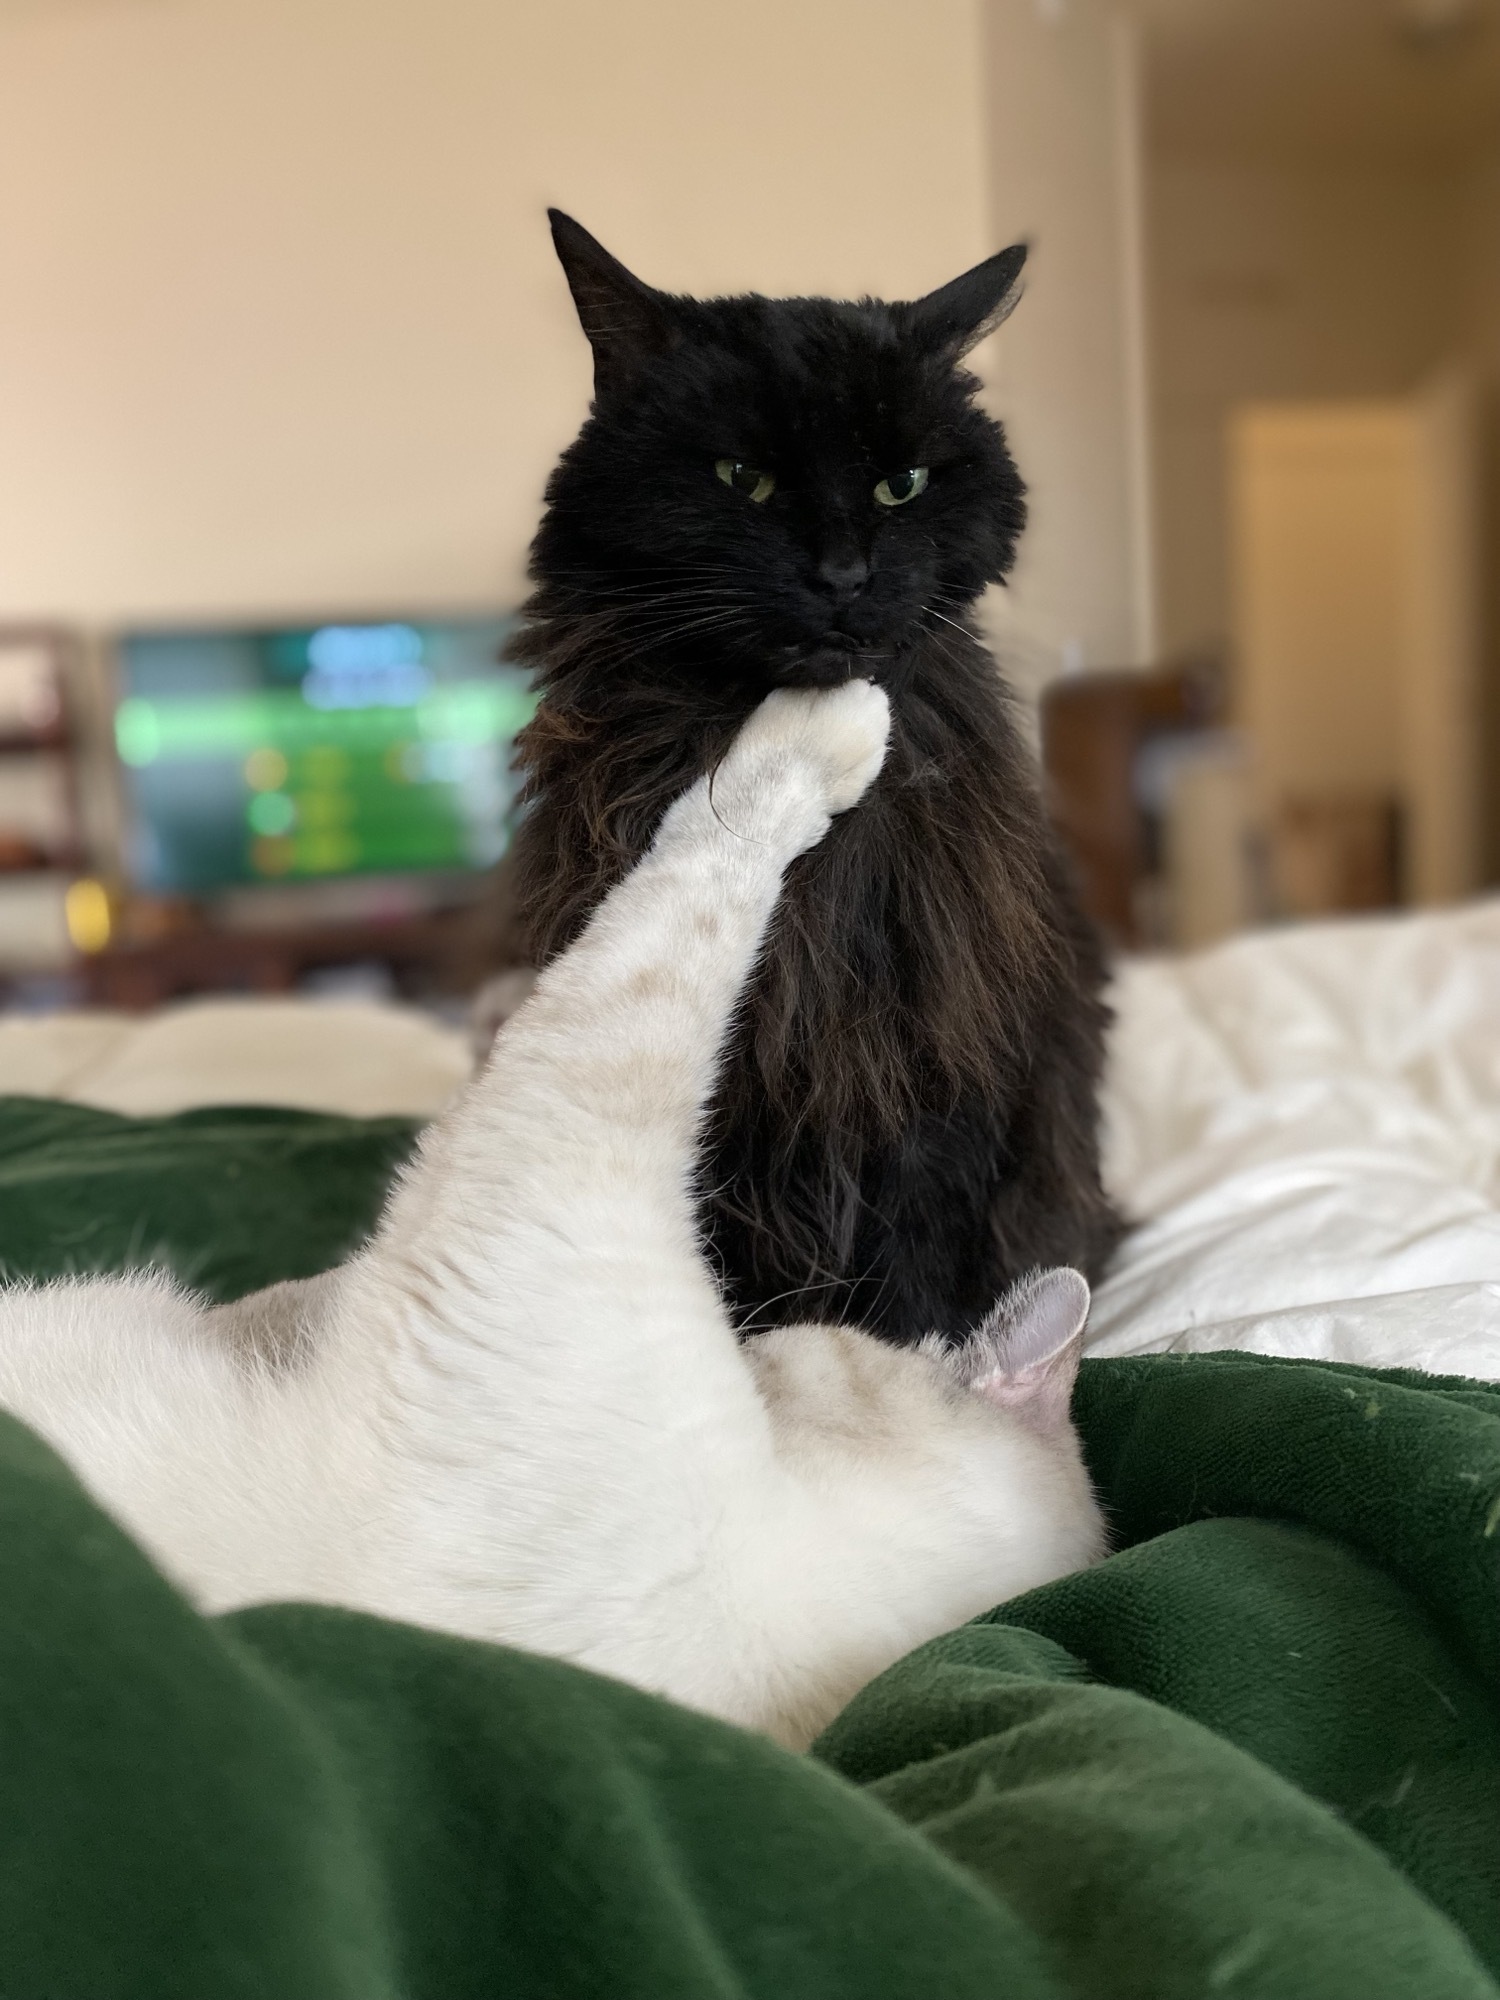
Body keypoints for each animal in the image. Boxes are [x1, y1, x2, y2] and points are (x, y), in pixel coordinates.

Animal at [512, 211, 1120, 1344]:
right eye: (741, 477)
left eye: (902, 485)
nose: (843, 577)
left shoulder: (929, 1072)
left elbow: (913, 1271)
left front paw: (908, 1362)